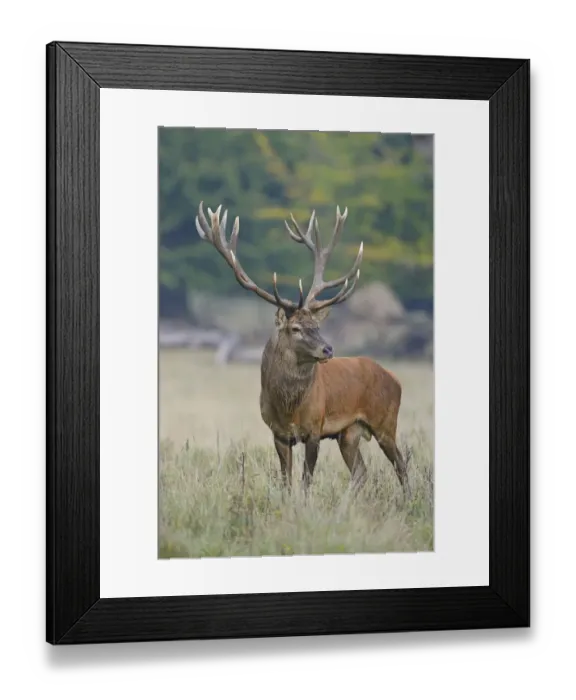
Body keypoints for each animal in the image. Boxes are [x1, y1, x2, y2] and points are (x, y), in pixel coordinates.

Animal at [195, 202, 412, 502]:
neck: (288, 408)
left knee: (400, 464)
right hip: (349, 433)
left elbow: (306, 481)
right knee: (361, 472)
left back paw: (409, 500)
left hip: (385, 422)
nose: (328, 348)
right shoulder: (278, 433)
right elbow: (286, 481)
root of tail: (395, 379)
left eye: (317, 325)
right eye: (296, 328)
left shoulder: (314, 429)